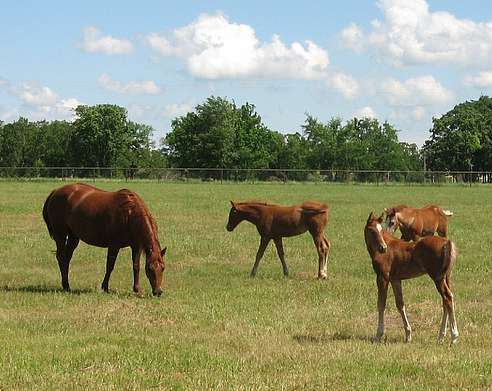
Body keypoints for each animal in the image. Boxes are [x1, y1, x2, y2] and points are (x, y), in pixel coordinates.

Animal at [364, 213, 460, 344]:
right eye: (372, 230)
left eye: (380, 230)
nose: (383, 247)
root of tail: (447, 242)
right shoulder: (395, 280)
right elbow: (400, 304)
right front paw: (408, 335)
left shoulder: (382, 277)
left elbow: (381, 304)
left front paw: (378, 335)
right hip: (446, 277)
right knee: (446, 300)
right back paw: (441, 336)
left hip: (438, 278)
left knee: (448, 297)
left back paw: (454, 336)